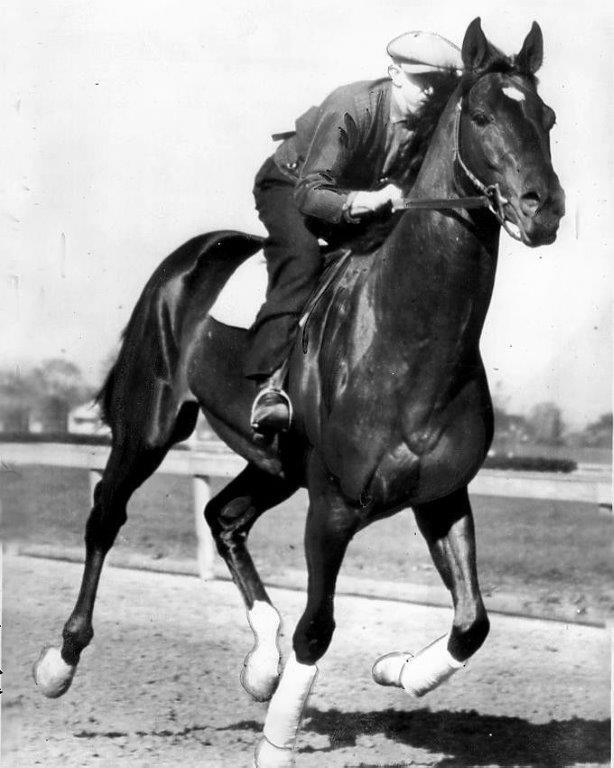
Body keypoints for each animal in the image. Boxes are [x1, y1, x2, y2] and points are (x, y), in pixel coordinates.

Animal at [33, 18, 568, 768]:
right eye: (485, 115)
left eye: (547, 118)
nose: (543, 208)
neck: (409, 340)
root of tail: (187, 259)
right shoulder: (334, 504)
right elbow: (320, 627)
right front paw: (279, 741)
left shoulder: (440, 497)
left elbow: (473, 622)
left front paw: (398, 669)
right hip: (150, 425)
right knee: (106, 516)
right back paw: (61, 661)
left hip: (274, 462)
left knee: (224, 517)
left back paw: (262, 664)